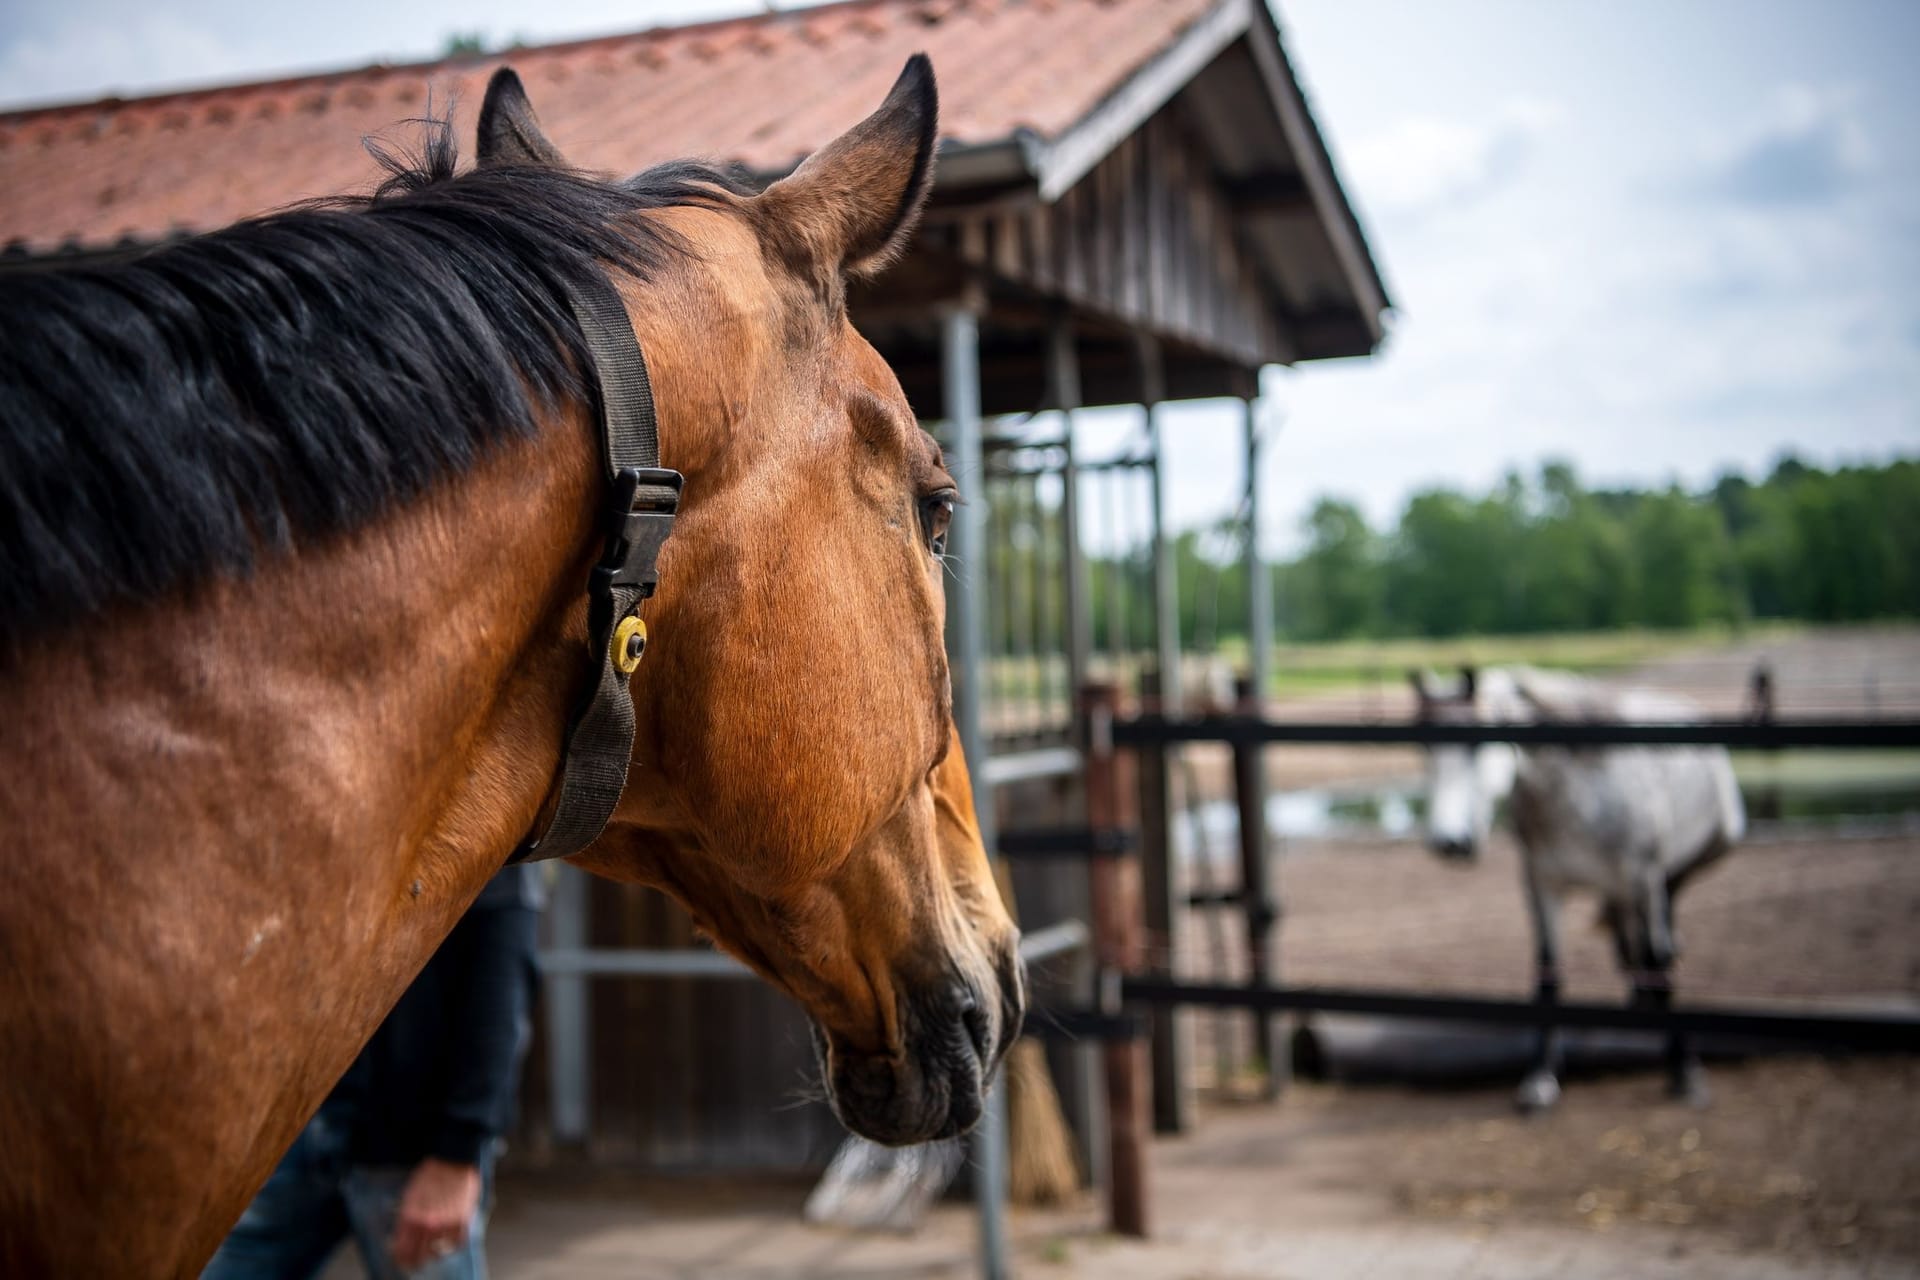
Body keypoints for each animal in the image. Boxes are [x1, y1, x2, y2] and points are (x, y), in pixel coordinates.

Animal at [1405, 671, 1751, 1113]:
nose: (1449, 842)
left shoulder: (1645, 879)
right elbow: (1548, 975)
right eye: (1424, 747)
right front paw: (1540, 1079)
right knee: (1629, 938)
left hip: (1681, 869)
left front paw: (1685, 1073)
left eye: (1478, 744)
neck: (1579, 789)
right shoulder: (1542, 887)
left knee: (1661, 934)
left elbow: (1657, 965)